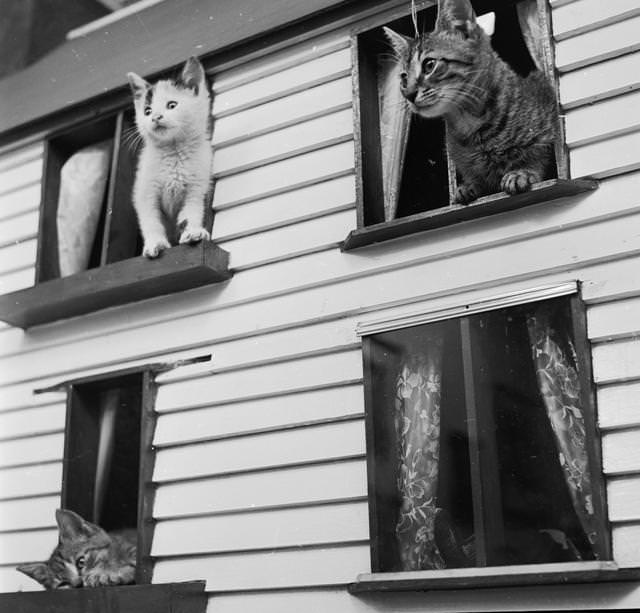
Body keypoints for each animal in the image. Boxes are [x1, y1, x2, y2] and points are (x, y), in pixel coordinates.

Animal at [127, 55, 212, 258]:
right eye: (147, 111)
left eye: (172, 105)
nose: (156, 117)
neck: (173, 152)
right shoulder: (145, 191)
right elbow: (151, 220)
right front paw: (155, 243)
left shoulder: (197, 188)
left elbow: (192, 212)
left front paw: (193, 232)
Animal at [382, 0, 556, 203]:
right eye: (403, 78)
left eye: (429, 65)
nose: (408, 94)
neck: (468, 122)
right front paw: (470, 185)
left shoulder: (545, 133)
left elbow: (539, 158)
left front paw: (523, 172)